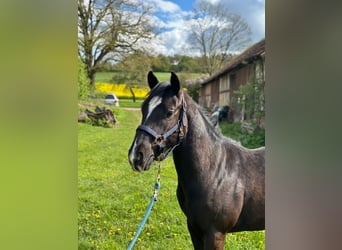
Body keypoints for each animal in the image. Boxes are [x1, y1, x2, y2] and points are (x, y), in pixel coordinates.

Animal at [128, 71, 264, 249]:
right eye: (143, 108)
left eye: (170, 112)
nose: (136, 156)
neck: (214, 172)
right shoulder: (193, 228)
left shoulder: (215, 235)